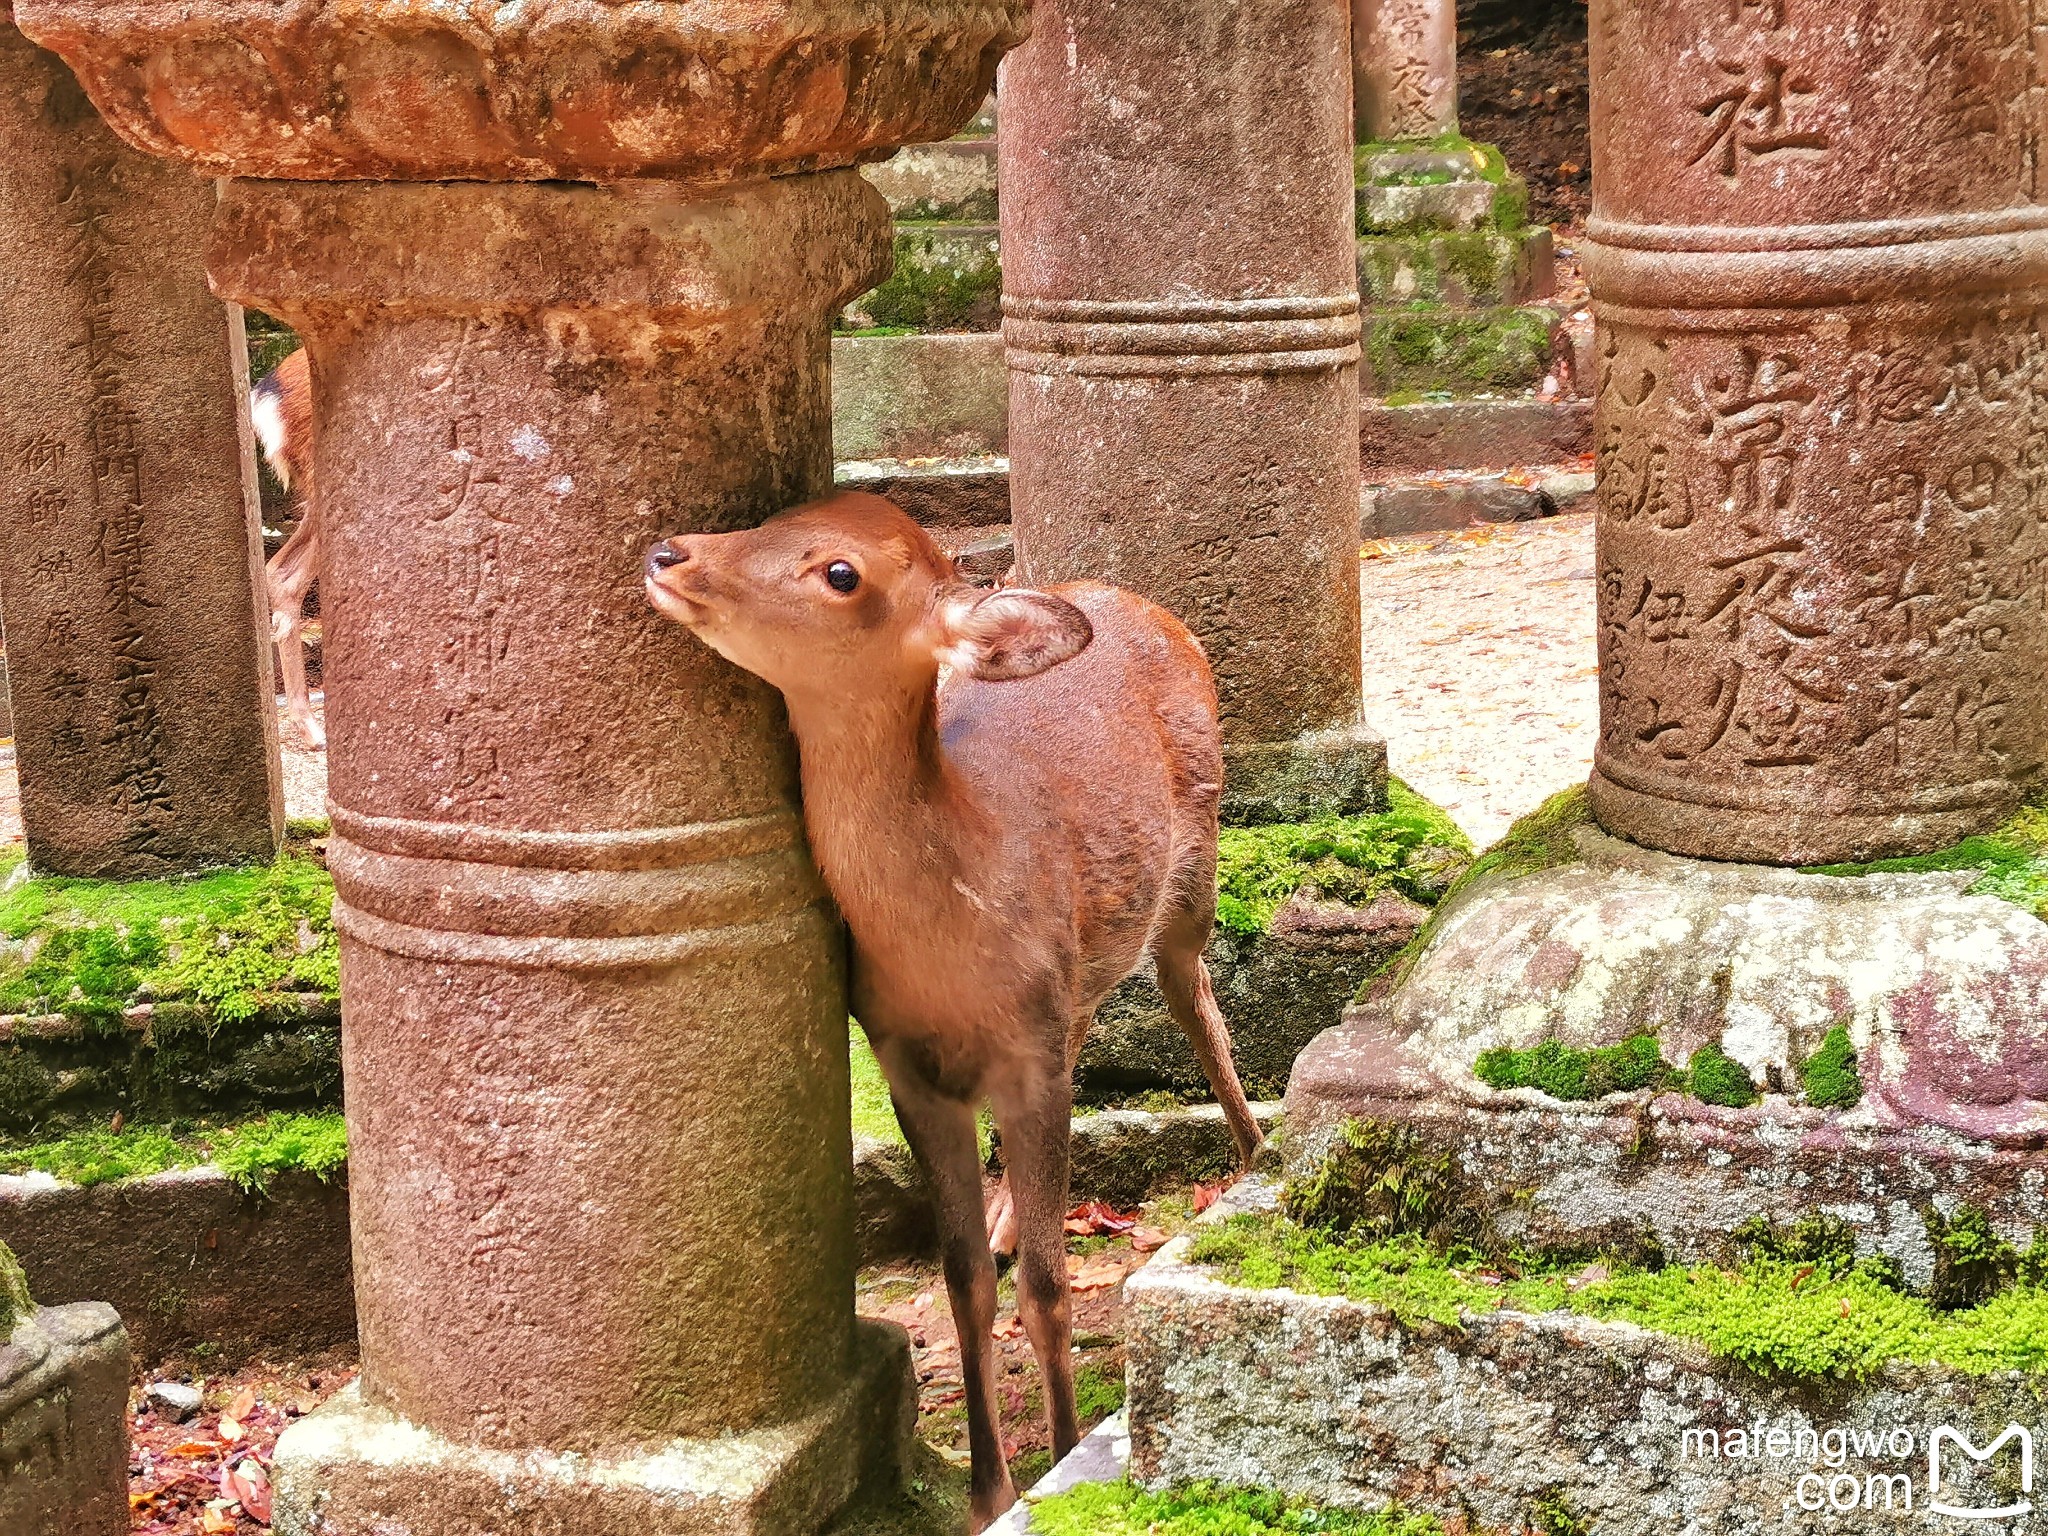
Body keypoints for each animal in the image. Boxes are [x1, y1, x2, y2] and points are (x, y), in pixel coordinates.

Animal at [643, 489, 1261, 1531]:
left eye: (841, 572)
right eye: (782, 509)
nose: (667, 553)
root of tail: (1141, 603)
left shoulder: (1031, 1061)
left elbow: (1051, 1288)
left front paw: (1062, 1455)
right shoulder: (906, 1064)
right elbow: (963, 1282)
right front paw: (986, 1489)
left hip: (1199, 854)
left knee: (1195, 995)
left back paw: (1258, 1154)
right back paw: (1013, 1214)